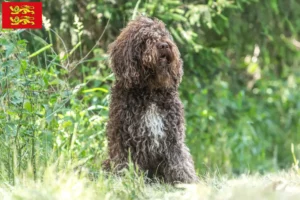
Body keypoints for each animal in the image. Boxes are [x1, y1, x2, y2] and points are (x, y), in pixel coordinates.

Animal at [103, 16, 199, 184]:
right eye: (146, 39)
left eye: (163, 35)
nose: (164, 45)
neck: (151, 93)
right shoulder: (123, 141)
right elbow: (123, 164)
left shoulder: (173, 140)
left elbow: (181, 164)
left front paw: (188, 183)